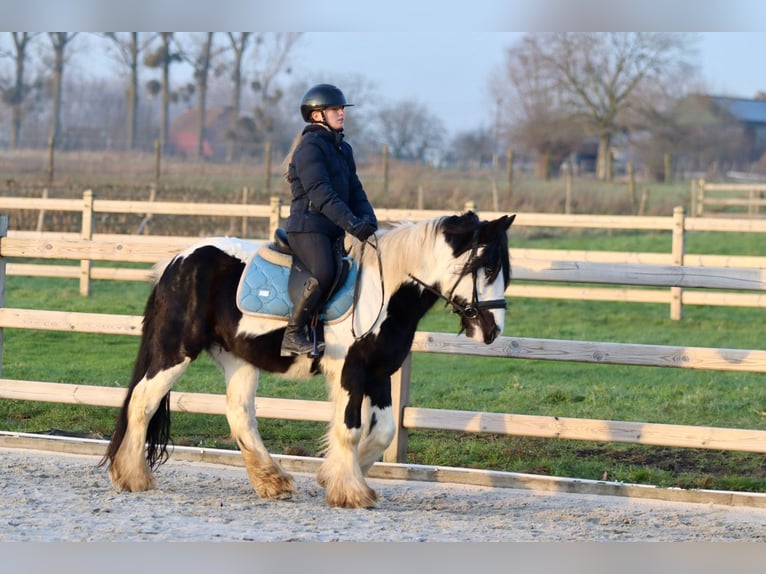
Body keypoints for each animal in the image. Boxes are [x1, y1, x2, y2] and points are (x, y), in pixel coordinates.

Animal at [100, 212, 516, 508]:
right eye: (488, 268)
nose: (492, 330)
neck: (383, 292)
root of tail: (177, 262)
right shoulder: (350, 371)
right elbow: (350, 428)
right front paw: (350, 491)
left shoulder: (379, 373)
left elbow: (382, 431)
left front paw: (335, 476)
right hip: (176, 350)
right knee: (142, 402)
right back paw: (133, 477)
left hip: (236, 357)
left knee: (239, 412)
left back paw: (273, 481)